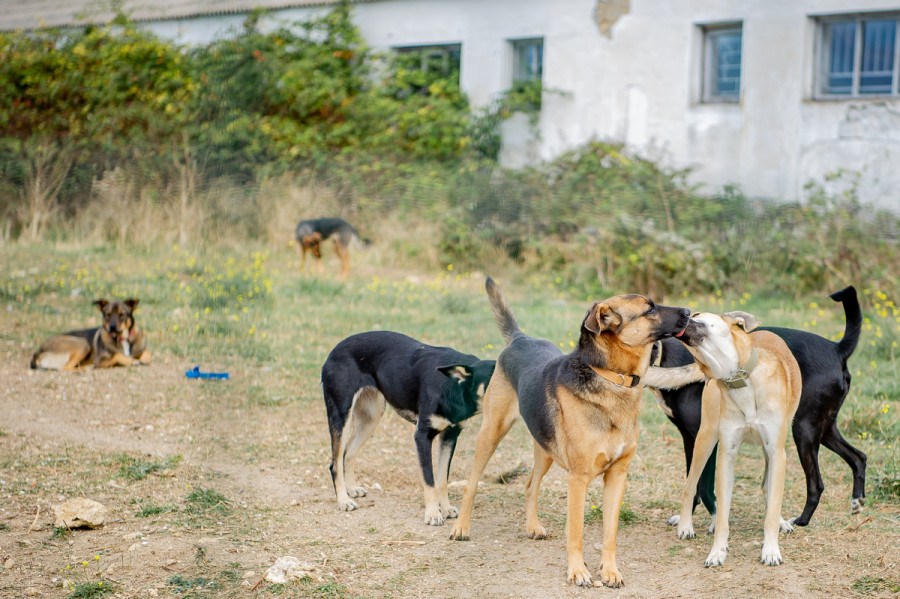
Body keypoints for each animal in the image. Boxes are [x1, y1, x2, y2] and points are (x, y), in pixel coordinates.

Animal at [322, 330, 496, 528]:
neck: (453, 386)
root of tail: (333, 351)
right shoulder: (422, 436)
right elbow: (430, 481)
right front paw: (433, 513)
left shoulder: (450, 436)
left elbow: (442, 479)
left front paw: (445, 508)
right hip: (341, 414)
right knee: (335, 463)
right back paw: (343, 500)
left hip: (371, 416)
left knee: (348, 454)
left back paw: (351, 489)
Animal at [450, 278, 688, 588]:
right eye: (649, 309)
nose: (689, 311)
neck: (611, 378)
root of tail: (520, 339)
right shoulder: (578, 479)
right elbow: (576, 532)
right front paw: (577, 571)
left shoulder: (617, 477)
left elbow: (610, 534)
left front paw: (610, 571)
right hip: (491, 433)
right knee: (472, 483)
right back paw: (461, 527)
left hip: (545, 449)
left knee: (530, 485)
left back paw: (532, 526)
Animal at [648, 288, 864, 528]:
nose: (686, 314)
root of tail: (837, 349)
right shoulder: (690, 437)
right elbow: (692, 479)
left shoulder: (703, 434)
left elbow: (703, 484)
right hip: (823, 428)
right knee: (858, 457)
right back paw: (857, 501)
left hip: (803, 430)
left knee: (816, 483)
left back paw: (801, 520)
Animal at [660, 312, 800, 568]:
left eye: (697, 316)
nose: (683, 313)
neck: (739, 376)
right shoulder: (726, 455)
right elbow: (722, 514)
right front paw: (717, 551)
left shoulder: (776, 451)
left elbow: (772, 508)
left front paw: (771, 549)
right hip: (705, 439)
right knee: (690, 486)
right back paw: (685, 525)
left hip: (772, 451)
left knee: (768, 488)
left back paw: (781, 521)